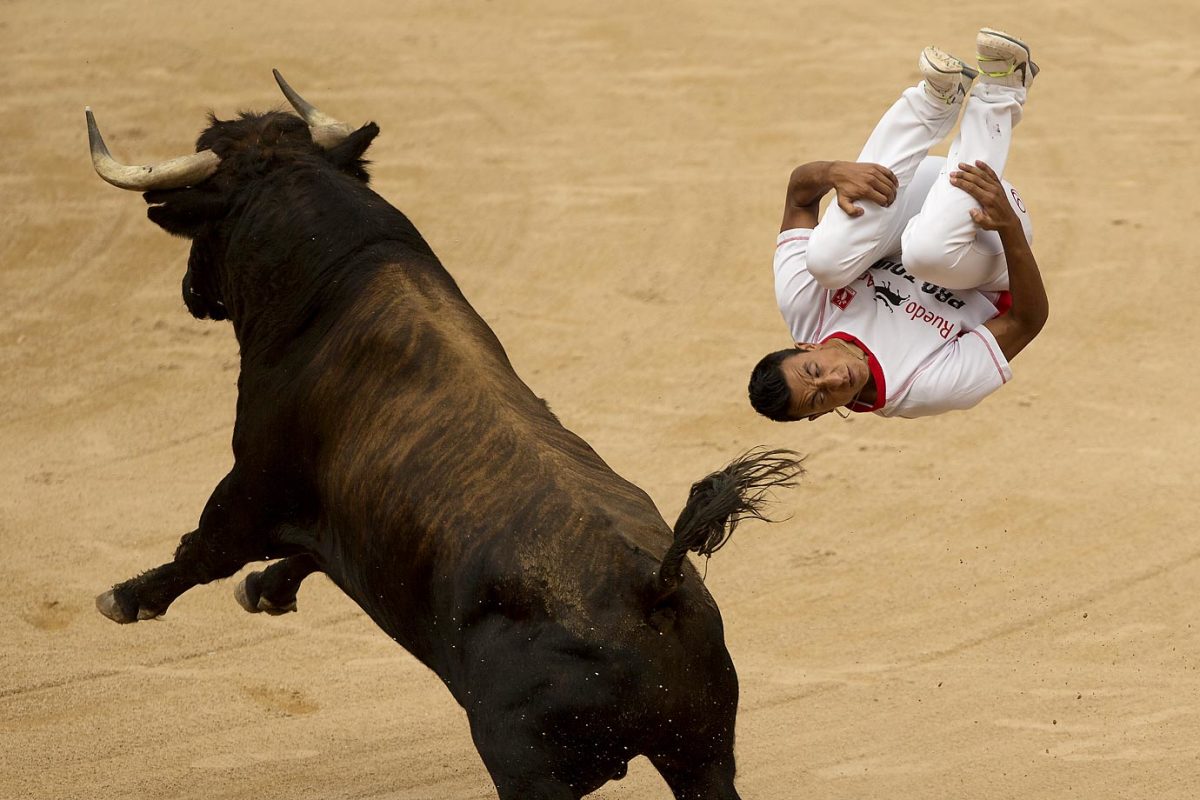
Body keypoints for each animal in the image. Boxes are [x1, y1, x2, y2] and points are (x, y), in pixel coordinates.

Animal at [86, 71, 803, 800]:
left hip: (528, 766)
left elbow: (202, 550)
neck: (336, 275)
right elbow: (306, 552)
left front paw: (126, 598)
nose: (191, 293)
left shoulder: (252, 481)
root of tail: (652, 588)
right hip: (703, 755)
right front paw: (267, 589)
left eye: (205, 224)